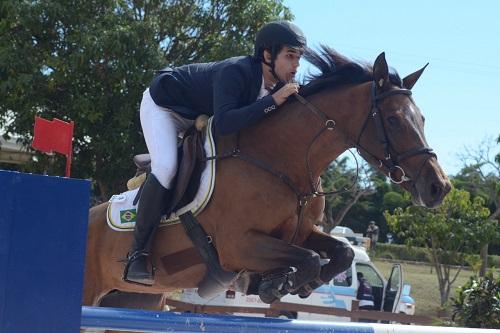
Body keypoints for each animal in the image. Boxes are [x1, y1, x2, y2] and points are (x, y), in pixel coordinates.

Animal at [81, 46, 450, 314]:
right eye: (393, 119)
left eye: (422, 118)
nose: (439, 187)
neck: (283, 160)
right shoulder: (239, 244)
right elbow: (309, 259)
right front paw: (274, 284)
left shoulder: (301, 232)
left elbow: (341, 252)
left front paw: (295, 285)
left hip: (136, 298)